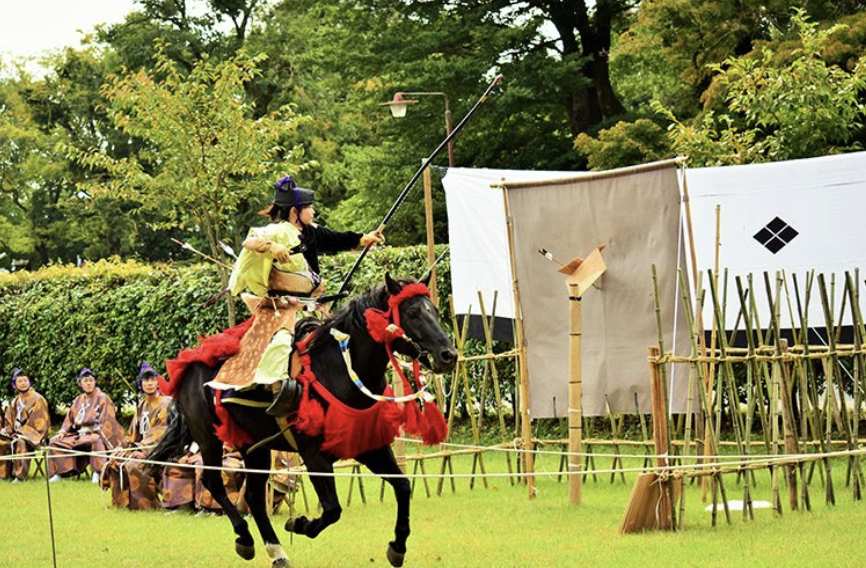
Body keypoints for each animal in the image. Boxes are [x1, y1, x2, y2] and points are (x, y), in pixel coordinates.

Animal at [148, 276, 460, 568]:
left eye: (433, 310)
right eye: (413, 313)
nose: (449, 355)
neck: (339, 370)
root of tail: (186, 367)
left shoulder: (369, 445)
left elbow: (403, 487)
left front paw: (397, 547)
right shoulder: (314, 455)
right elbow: (332, 509)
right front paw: (299, 523)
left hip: (254, 445)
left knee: (254, 496)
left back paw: (276, 551)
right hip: (208, 437)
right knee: (213, 481)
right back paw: (244, 537)